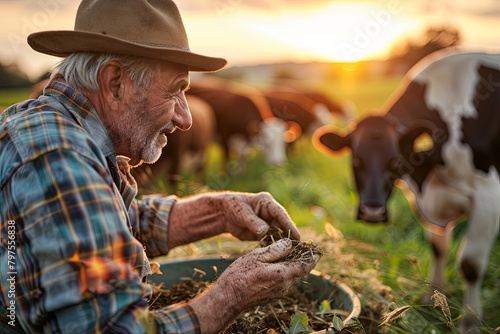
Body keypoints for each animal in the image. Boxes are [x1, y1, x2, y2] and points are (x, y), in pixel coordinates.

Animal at [312, 51, 500, 332]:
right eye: (355, 160)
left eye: (396, 162)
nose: (372, 212)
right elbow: (437, 247)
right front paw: (433, 298)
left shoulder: (489, 197)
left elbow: (471, 264)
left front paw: (470, 321)